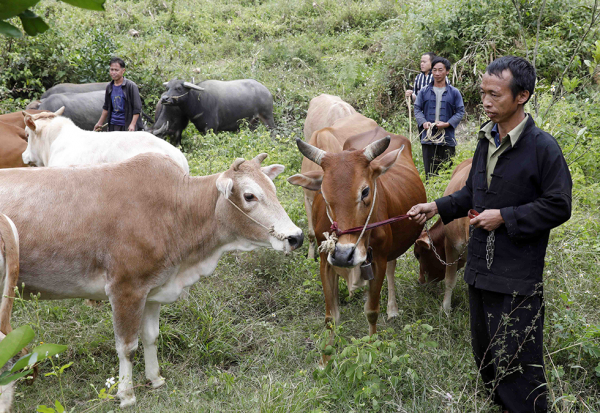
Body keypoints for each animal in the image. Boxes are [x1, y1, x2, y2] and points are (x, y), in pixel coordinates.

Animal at [0, 151, 302, 406]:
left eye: (274, 190)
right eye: (249, 196)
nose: (296, 236)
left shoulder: (153, 290)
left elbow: (151, 337)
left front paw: (155, 378)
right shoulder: (125, 289)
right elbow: (127, 346)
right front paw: (126, 394)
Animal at [290, 114, 426, 362]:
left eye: (365, 191)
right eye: (323, 194)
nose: (344, 255)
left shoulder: (377, 260)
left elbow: (371, 311)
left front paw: (372, 347)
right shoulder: (326, 262)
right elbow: (331, 317)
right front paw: (325, 359)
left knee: (392, 269)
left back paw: (392, 309)